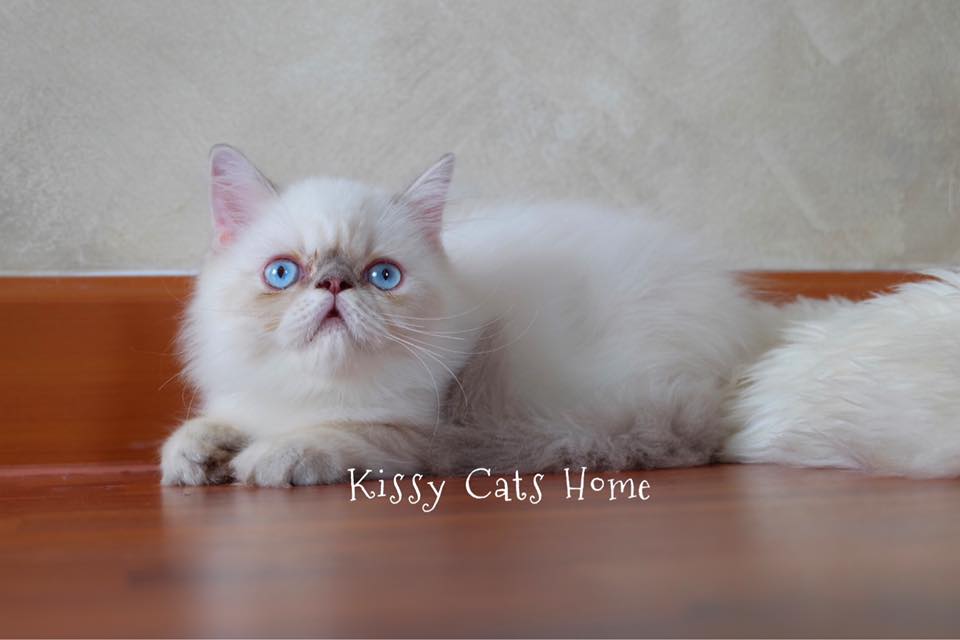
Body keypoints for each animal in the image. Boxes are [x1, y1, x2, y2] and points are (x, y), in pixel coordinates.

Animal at [160, 145, 773, 486]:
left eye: (384, 276)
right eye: (284, 273)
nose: (335, 283)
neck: (314, 393)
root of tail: (747, 332)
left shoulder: (417, 431)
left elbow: (328, 436)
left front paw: (264, 459)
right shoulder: (250, 397)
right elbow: (212, 424)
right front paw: (193, 459)